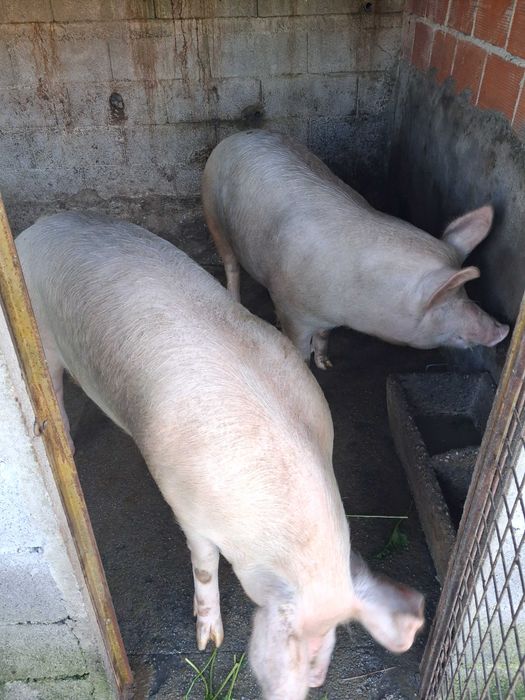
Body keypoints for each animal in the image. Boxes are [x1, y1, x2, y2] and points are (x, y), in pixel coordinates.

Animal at [16, 212, 424, 699]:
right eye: (293, 644)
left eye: (330, 638)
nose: (309, 682)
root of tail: (40, 225)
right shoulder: (187, 507)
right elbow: (206, 568)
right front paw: (209, 641)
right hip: (41, 331)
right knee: (52, 387)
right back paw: (69, 447)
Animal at [202, 129, 509, 369]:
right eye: (445, 303)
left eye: (465, 293)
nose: (503, 329)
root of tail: (237, 135)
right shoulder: (291, 307)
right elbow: (297, 348)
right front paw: (308, 369)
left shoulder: (328, 318)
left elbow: (324, 336)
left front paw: (326, 364)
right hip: (213, 213)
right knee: (230, 264)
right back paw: (235, 300)